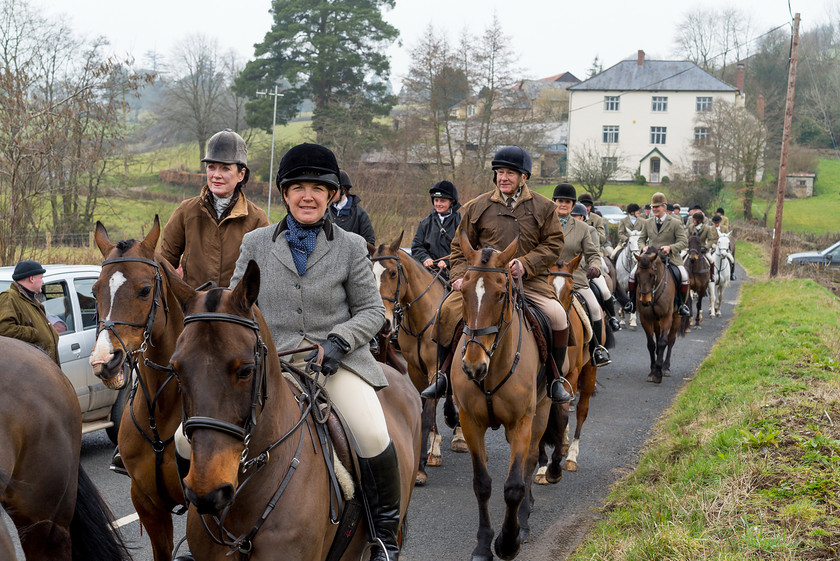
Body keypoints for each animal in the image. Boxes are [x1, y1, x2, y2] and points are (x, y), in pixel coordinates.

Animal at [452, 233, 552, 560]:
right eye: (464, 291)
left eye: (499, 295)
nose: (473, 366)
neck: (493, 368)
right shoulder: (470, 422)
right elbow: (482, 484)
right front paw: (483, 545)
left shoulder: (522, 421)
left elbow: (514, 485)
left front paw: (508, 542)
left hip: (542, 411)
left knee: (530, 460)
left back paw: (523, 521)